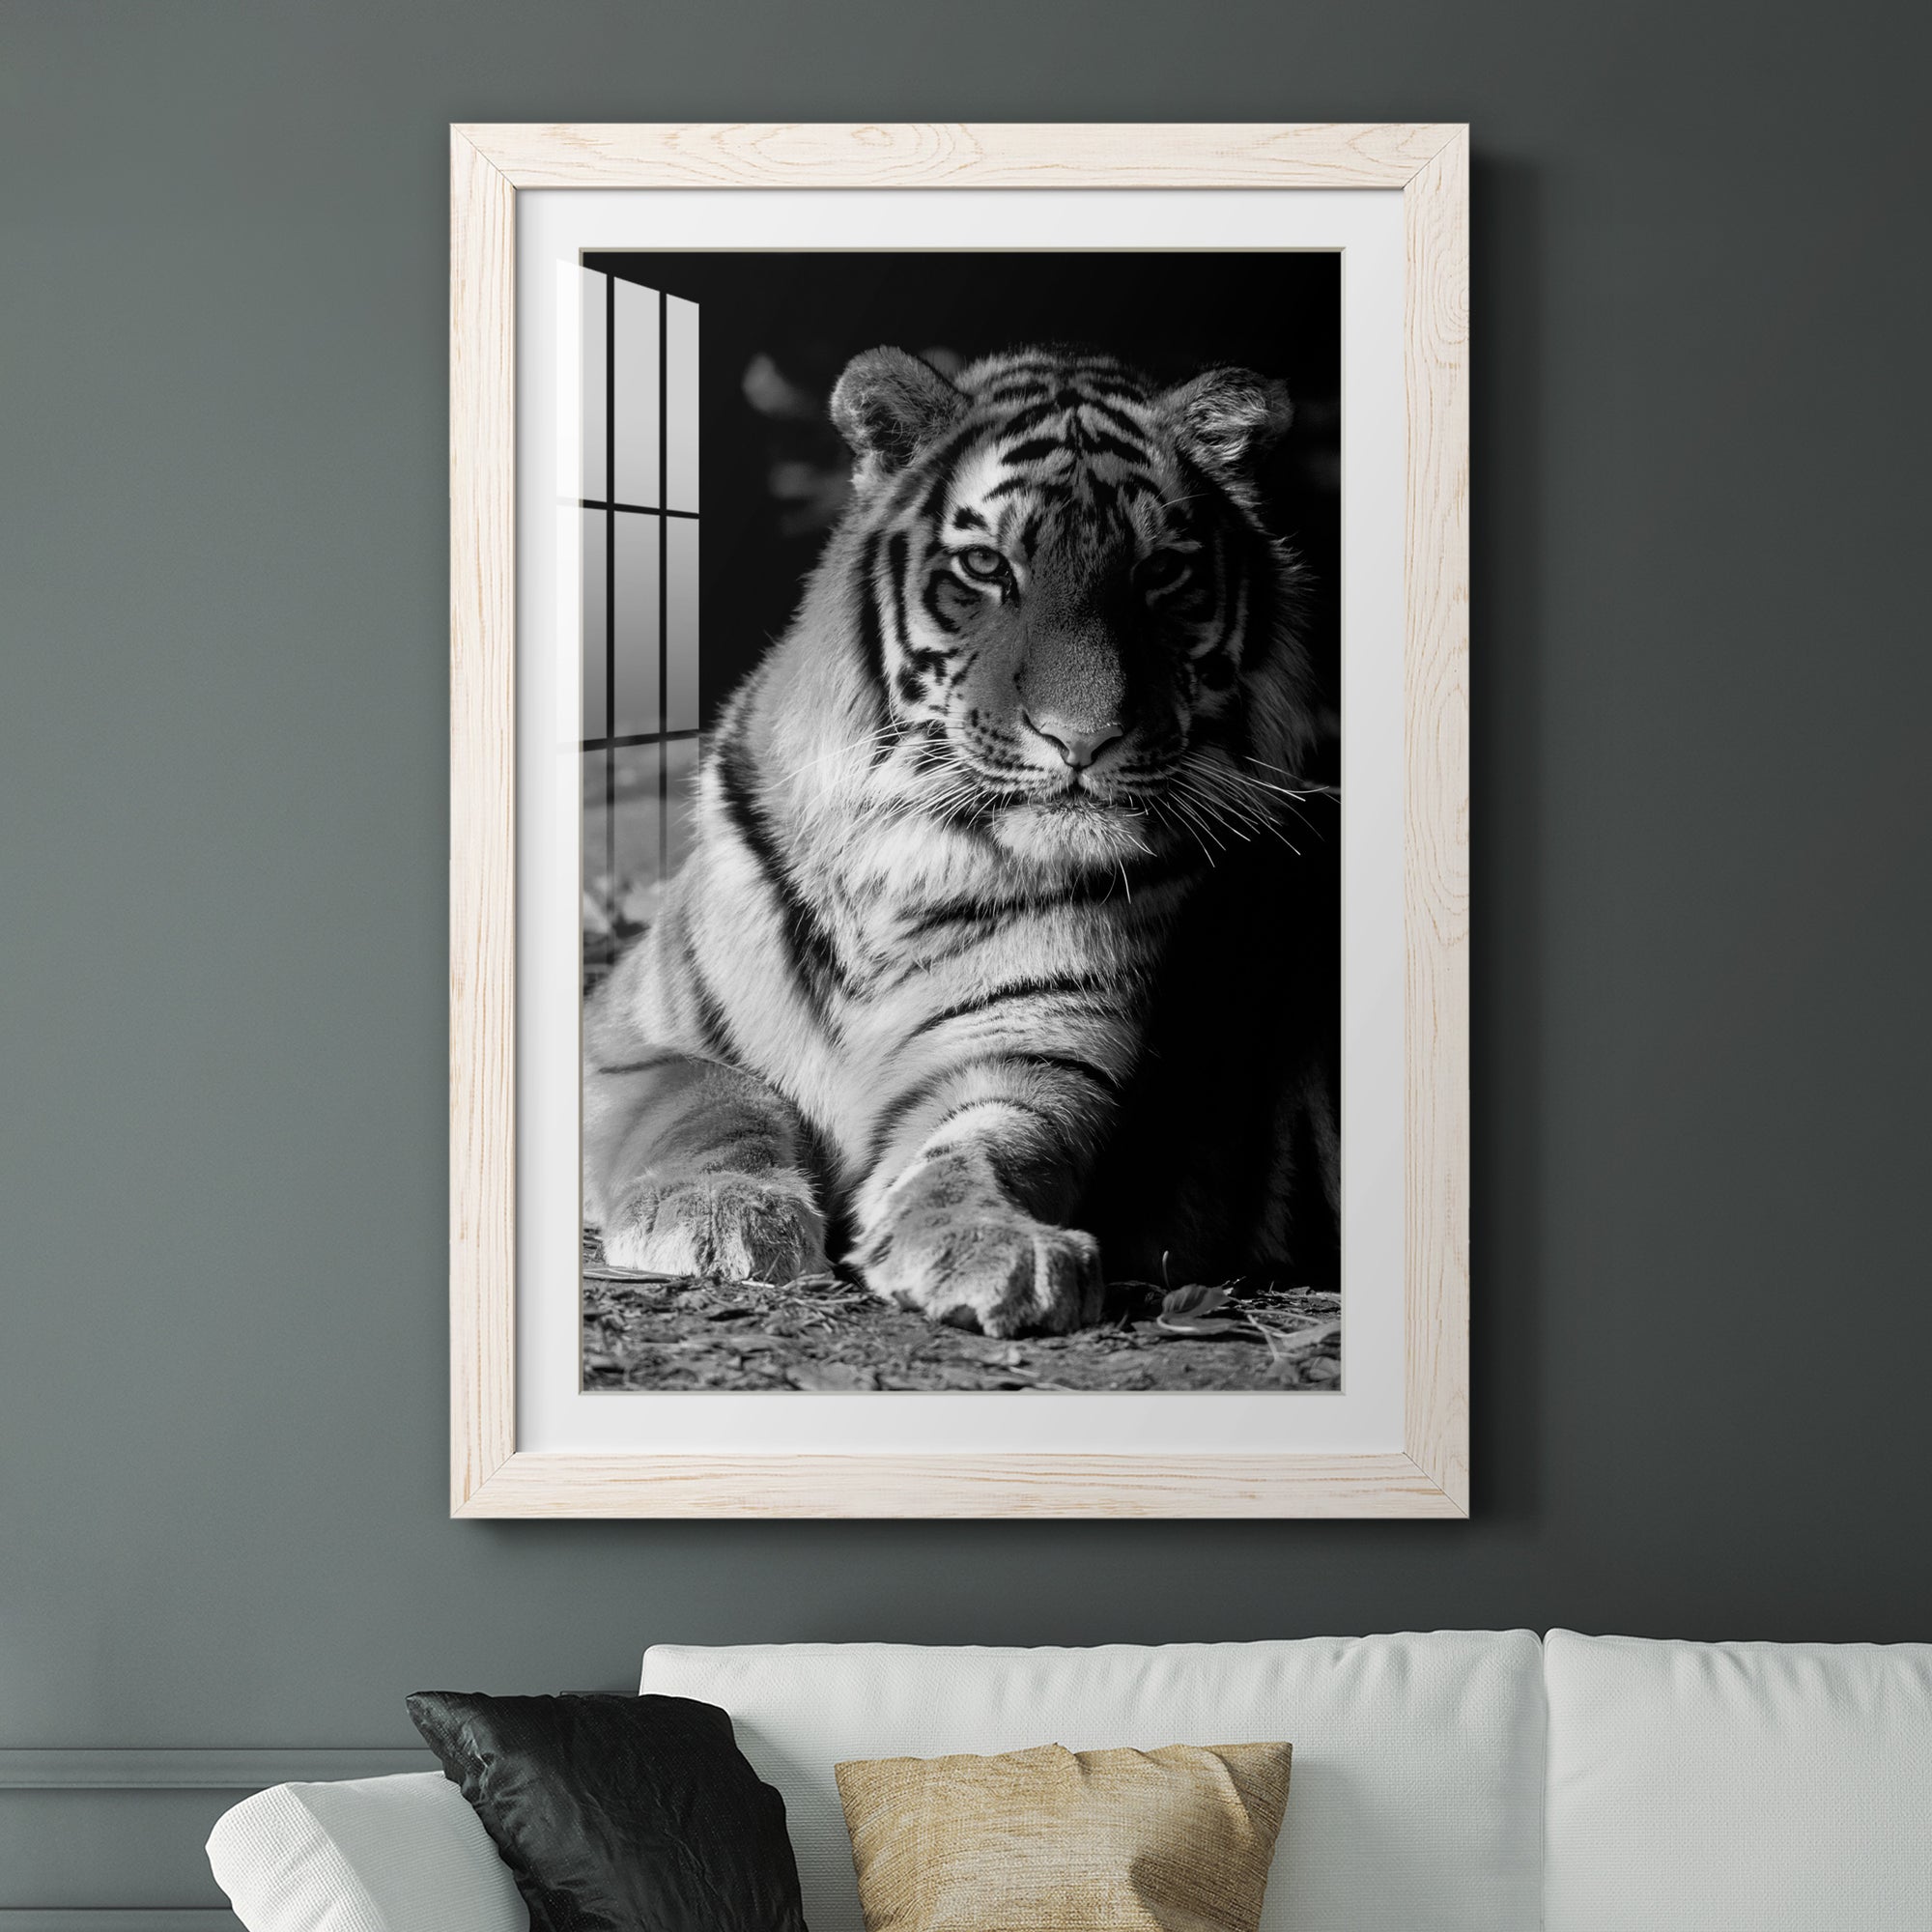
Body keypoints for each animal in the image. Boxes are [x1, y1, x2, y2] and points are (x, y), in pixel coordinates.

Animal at [582, 343, 1338, 1339]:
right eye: (986, 566)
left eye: (1160, 574)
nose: (1083, 739)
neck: (906, 860)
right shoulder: (627, 1033)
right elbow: (714, 1099)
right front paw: (717, 1214)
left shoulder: (1033, 1057)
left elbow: (986, 1147)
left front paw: (993, 1245)